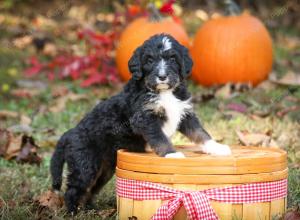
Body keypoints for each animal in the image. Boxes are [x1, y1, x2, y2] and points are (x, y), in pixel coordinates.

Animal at [49, 34, 232, 213]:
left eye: (173, 59)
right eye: (149, 60)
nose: (162, 76)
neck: (164, 92)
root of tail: (69, 133)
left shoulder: (184, 113)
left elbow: (200, 132)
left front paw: (217, 148)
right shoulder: (144, 118)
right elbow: (160, 138)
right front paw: (171, 154)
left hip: (104, 169)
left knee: (90, 189)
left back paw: (90, 209)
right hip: (85, 164)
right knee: (73, 189)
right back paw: (73, 211)